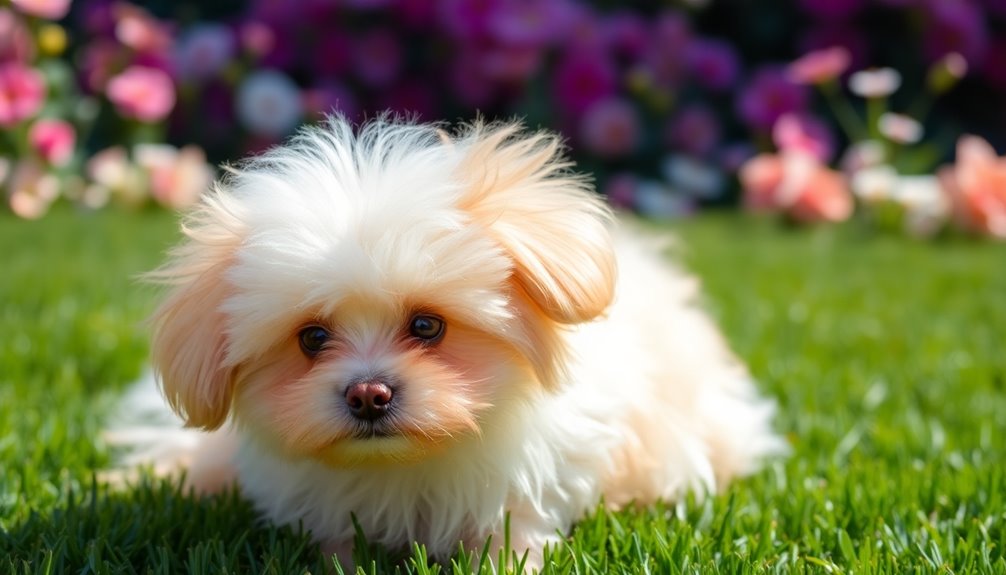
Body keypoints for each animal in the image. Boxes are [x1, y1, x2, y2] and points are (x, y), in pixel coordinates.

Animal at [119, 114, 784, 566]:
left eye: (426, 325)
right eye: (311, 337)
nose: (368, 395)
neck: (410, 465)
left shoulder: (527, 484)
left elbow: (513, 539)